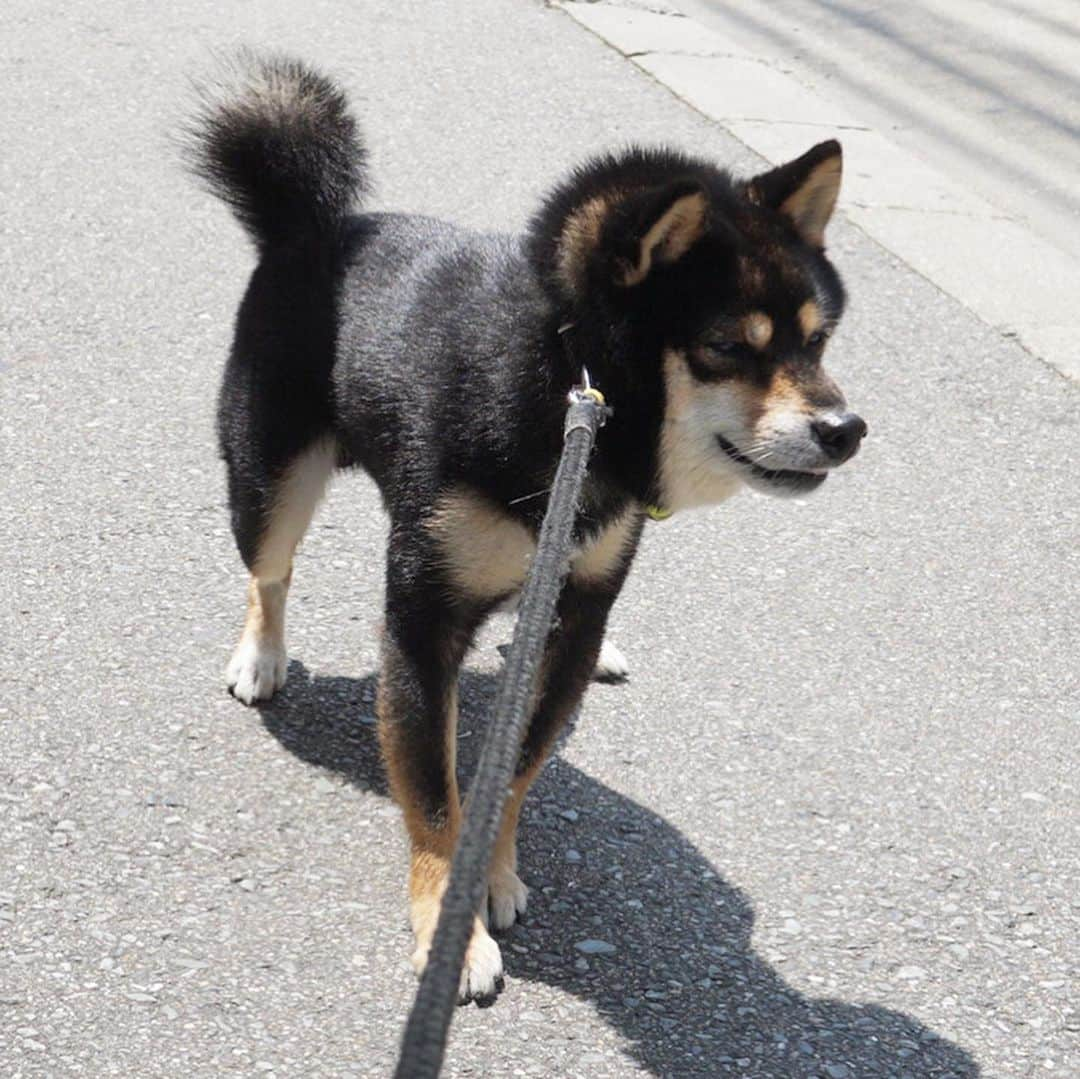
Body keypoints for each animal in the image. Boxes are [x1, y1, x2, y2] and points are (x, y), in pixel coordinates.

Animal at [183, 54, 859, 997]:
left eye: (817, 340)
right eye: (729, 347)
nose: (846, 428)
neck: (569, 393)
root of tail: (309, 226)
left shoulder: (574, 614)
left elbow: (510, 773)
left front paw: (487, 875)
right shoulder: (421, 622)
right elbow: (436, 796)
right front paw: (448, 920)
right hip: (269, 482)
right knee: (268, 570)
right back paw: (262, 654)